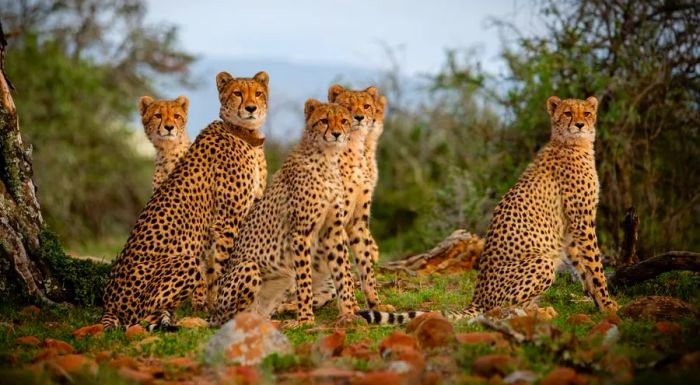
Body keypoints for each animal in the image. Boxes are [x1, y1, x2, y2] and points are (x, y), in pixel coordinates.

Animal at [100, 70, 270, 328]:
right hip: (180, 265)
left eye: (258, 93)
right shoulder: (227, 221)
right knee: (139, 318)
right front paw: (221, 306)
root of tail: (109, 303)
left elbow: (213, 270)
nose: (251, 108)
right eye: (237, 93)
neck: (244, 133)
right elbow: (224, 265)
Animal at [211, 100, 358, 328]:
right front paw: (305, 320)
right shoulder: (300, 233)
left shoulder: (333, 230)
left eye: (343, 121)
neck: (327, 157)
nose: (336, 134)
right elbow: (305, 280)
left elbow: (343, 273)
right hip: (248, 268)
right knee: (231, 318)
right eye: (324, 120)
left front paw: (350, 313)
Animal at [360, 96, 616, 324]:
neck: (573, 143)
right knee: (499, 308)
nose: (580, 125)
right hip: (541, 261)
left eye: (587, 113)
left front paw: (598, 301)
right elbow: (595, 265)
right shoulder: (582, 220)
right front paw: (608, 304)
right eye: (568, 113)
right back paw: (538, 313)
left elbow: (584, 266)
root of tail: (478, 296)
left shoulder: (572, 227)